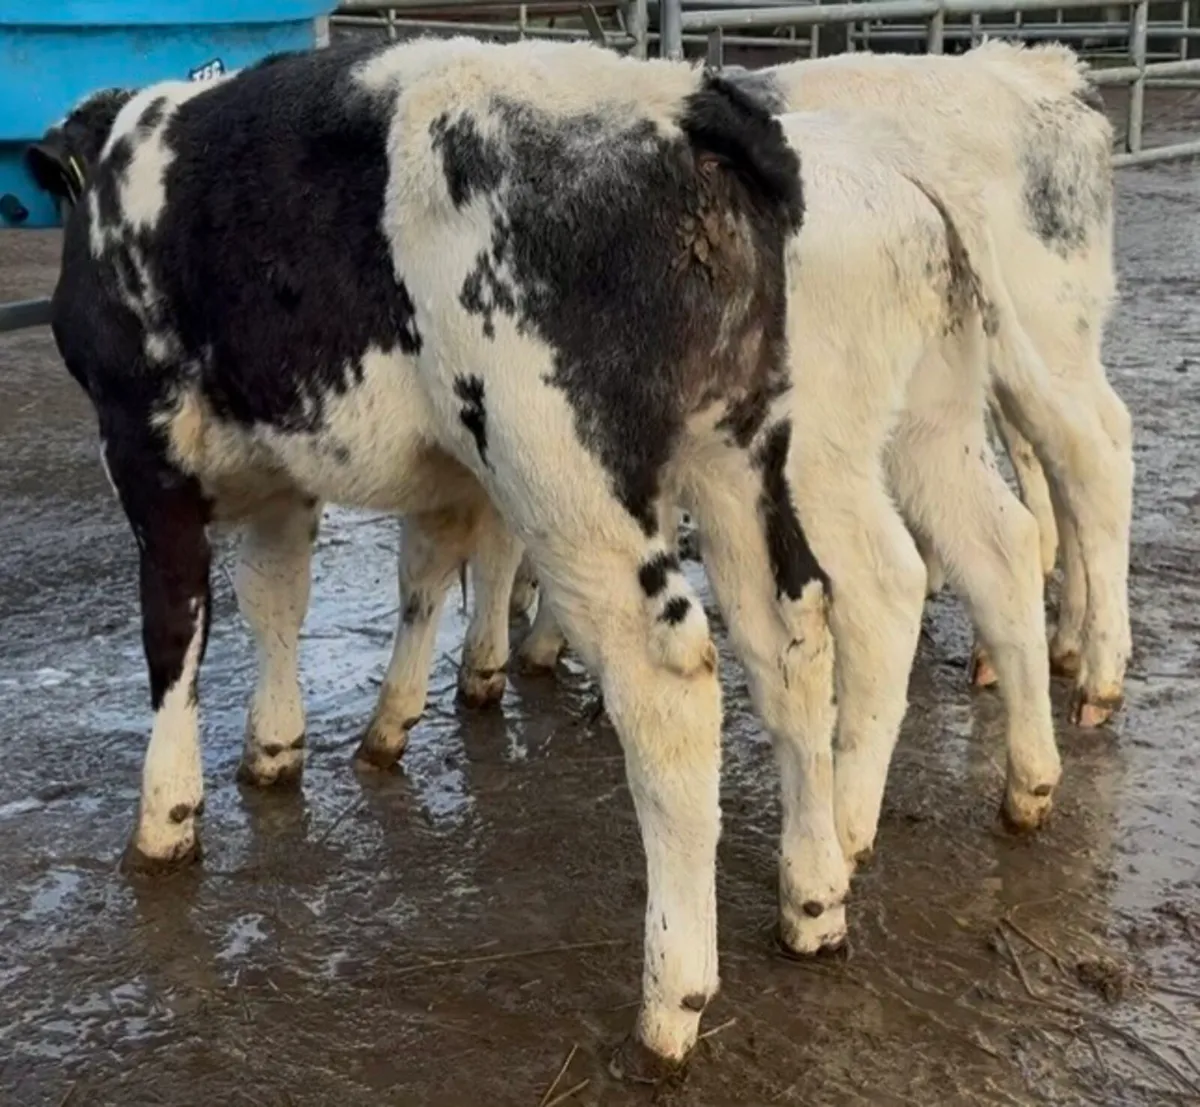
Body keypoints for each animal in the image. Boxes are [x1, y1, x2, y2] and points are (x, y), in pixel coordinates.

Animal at [30, 36, 1058, 1077]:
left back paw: (675, 993)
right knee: (813, 625)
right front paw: (275, 748)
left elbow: (176, 630)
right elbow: (279, 597)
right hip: (756, 450)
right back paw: (818, 893)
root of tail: (692, 106)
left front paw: (165, 817)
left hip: (576, 471)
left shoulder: (143, 449)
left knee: (685, 676)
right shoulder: (285, 466)